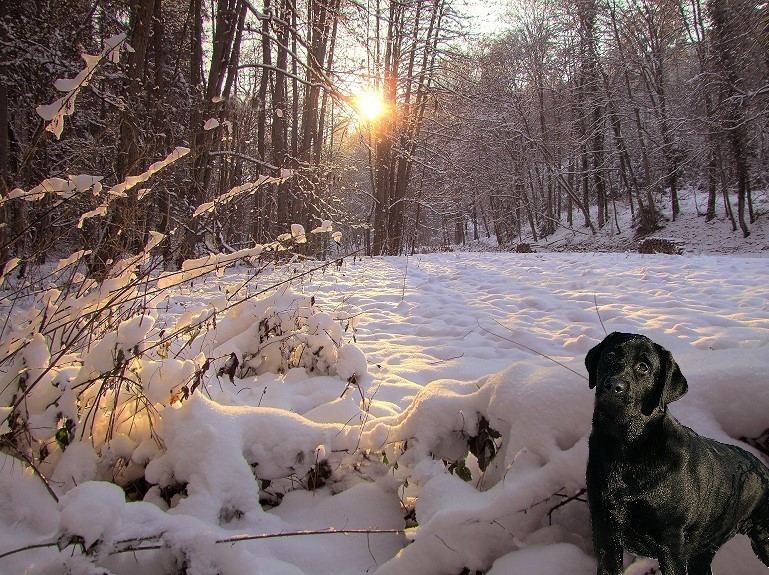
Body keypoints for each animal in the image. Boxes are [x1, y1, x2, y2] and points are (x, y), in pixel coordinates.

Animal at [584, 332, 768, 575]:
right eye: (610, 356)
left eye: (644, 367)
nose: (614, 385)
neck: (626, 449)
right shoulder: (605, 535)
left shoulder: (670, 543)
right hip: (703, 552)